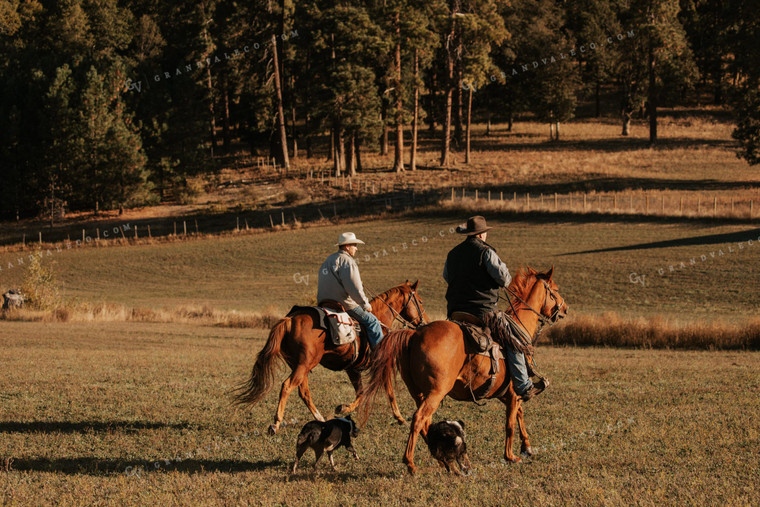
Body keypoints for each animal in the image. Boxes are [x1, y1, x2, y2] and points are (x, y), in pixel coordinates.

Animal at [232, 280, 428, 434]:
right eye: (420, 301)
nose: (424, 322)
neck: (380, 321)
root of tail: (290, 320)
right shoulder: (383, 364)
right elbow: (388, 391)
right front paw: (400, 418)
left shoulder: (352, 368)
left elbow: (361, 392)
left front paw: (344, 407)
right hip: (304, 364)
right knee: (287, 386)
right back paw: (276, 423)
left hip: (300, 365)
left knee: (304, 392)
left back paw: (320, 418)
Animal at [360, 268, 564, 474]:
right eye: (555, 289)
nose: (564, 309)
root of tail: (414, 335)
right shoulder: (515, 392)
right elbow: (510, 423)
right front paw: (511, 456)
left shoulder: (506, 393)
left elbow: (518, 414)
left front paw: (526, 447)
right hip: (436, 392)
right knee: (419, 419)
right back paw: (411, 463)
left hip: (419, 393)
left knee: (426, 423)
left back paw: (445, 462)